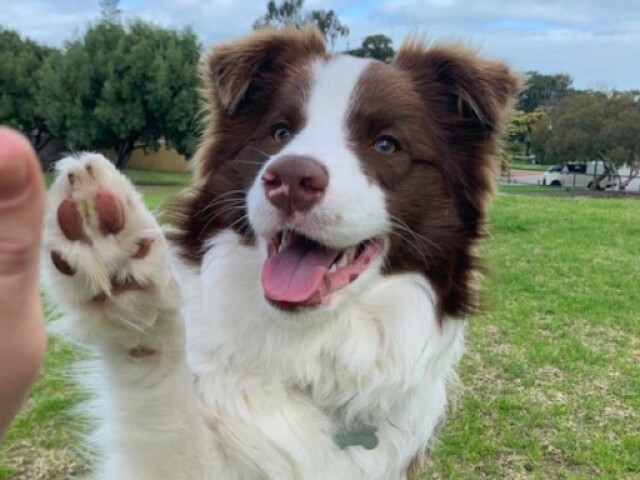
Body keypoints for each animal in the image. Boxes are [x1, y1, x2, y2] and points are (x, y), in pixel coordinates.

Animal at [41, 27, 520, 480]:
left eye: (386, 144)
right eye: (280, 132)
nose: (289, 178)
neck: (307, 351)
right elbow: (166, 406)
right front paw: (123, 279)